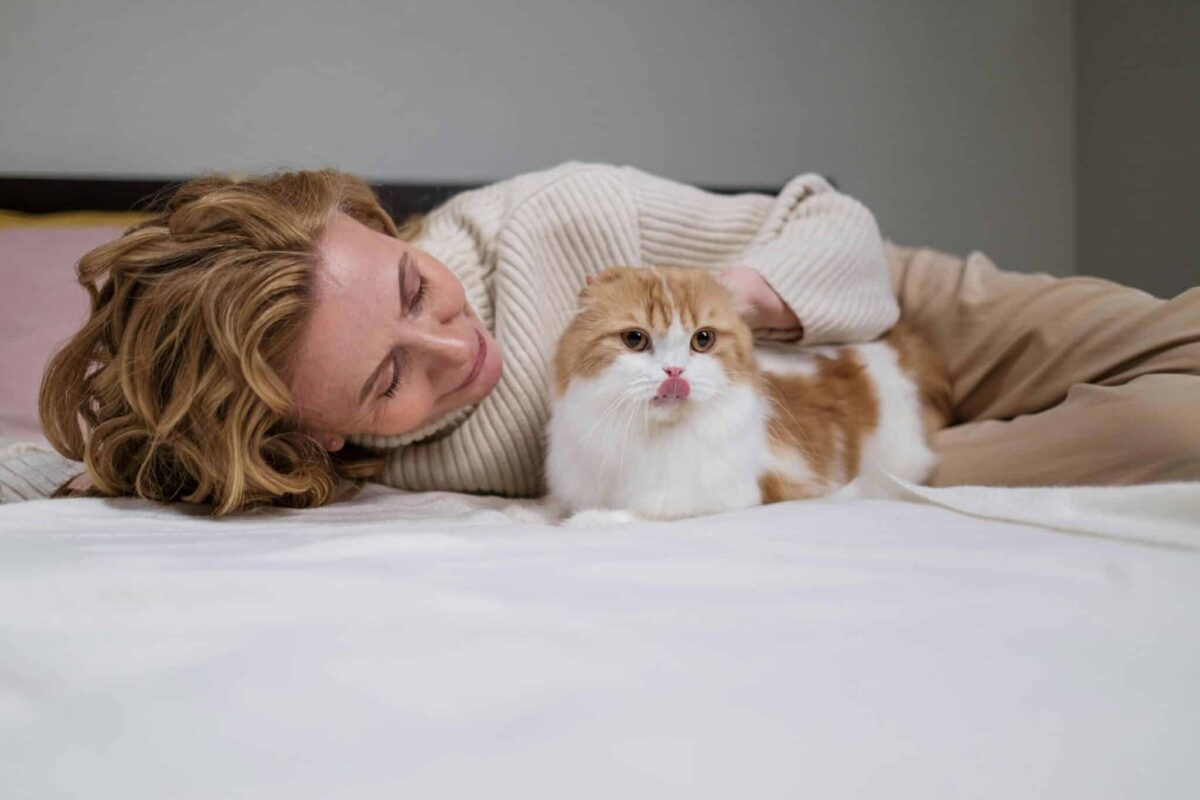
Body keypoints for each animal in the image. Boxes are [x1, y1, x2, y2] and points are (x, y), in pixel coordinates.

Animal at [544, 266, 951, 521]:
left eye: (702, 340)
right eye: (635, 339)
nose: (675, 371)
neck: (647, 436)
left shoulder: (728, 496)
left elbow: (630, 514)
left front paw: (589, 520)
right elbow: (553, 507)